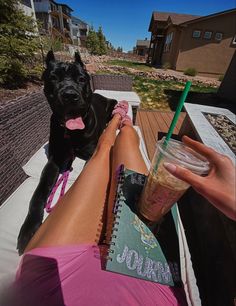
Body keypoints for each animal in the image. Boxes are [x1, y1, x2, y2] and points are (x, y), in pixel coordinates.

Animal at [16, 50, 117, 255]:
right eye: (53, 78)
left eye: (81, 79)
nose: (70, 95)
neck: (71, 133)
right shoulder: (55, 160)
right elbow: (39, 193)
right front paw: (29, 228)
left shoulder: (92, 154)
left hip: (113, 103)